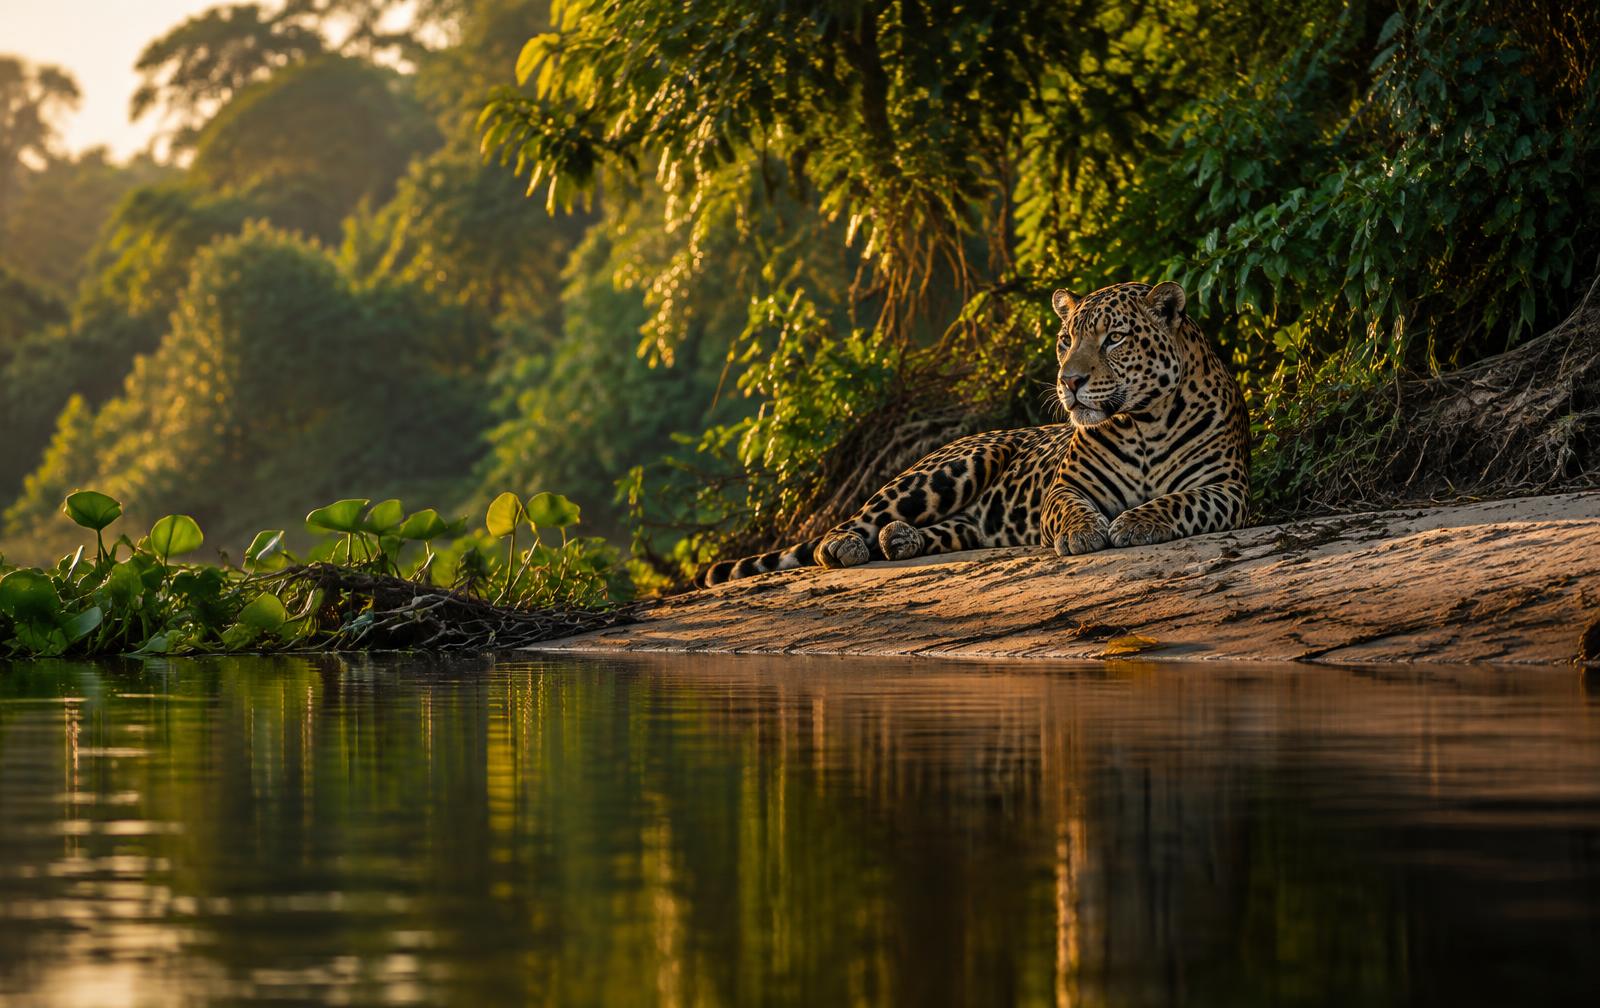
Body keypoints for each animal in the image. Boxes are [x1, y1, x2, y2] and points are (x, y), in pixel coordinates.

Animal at [698, 280, 1250, 586]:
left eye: (1114, 338)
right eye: (1065, 340)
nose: (1069, 381)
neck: (1142, 423)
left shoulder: (1227, 487)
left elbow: (1176, 501)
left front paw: (1137, 521)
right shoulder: (1066, 487)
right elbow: (1070, 508)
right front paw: (1081, 532)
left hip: (966, 517)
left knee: (945, 529)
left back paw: (900, 540)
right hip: (950, 469)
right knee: (845, 526)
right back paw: (851, 546)